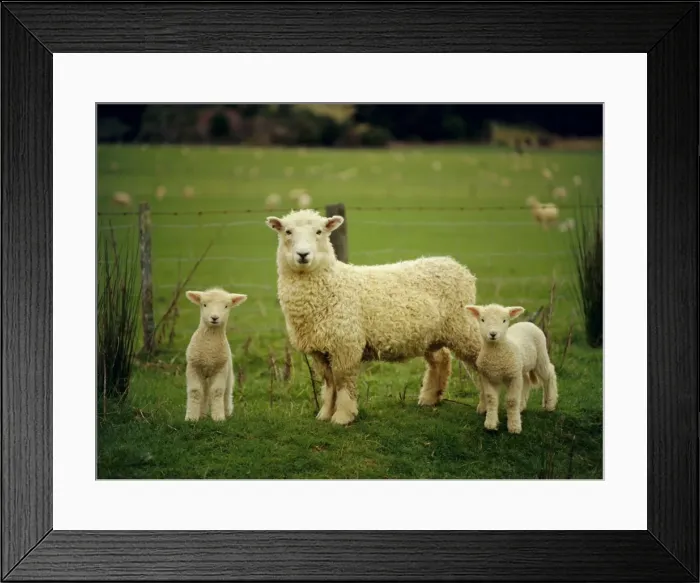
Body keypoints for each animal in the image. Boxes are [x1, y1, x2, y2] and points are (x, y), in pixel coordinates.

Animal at [184, 288, 248, 422]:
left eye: (226, 306)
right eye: (204, 305)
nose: (214, 317)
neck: (209, 346)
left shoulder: (220, 368)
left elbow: (217, 391)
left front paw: (218, 417)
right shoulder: (193, 366)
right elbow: (195, 391)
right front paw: (191, 417)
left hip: (228, 373)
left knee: (226, 393)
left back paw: (227, 412)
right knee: (205, 392)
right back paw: (202, 415)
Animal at [265, 209, 483, 426]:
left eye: (319, 231)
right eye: (287, 231)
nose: (303, 255)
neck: (331, 284)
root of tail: (456, 265)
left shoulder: (346, 344)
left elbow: (342, 381)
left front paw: (342, 416)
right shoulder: (319, 348)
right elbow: (329, 382)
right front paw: (325, 414)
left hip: (462, 326)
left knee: (480, 362)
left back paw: (485, 406)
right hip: (431, 334)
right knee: (441, 359)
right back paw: (430, 398)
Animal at [465, 304, 558, 434]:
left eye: (504, 320)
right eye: (482, 319)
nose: (493, 334)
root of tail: (527, 323)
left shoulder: (513, 377)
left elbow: (512, 401)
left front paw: (514, 426)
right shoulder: (489, 377)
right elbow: (491, 399)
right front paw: (490, 424)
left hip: (540, 356)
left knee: (549, 374)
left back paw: (549, 403)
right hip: (520, 366)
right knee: (526, 381)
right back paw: (522, 406)